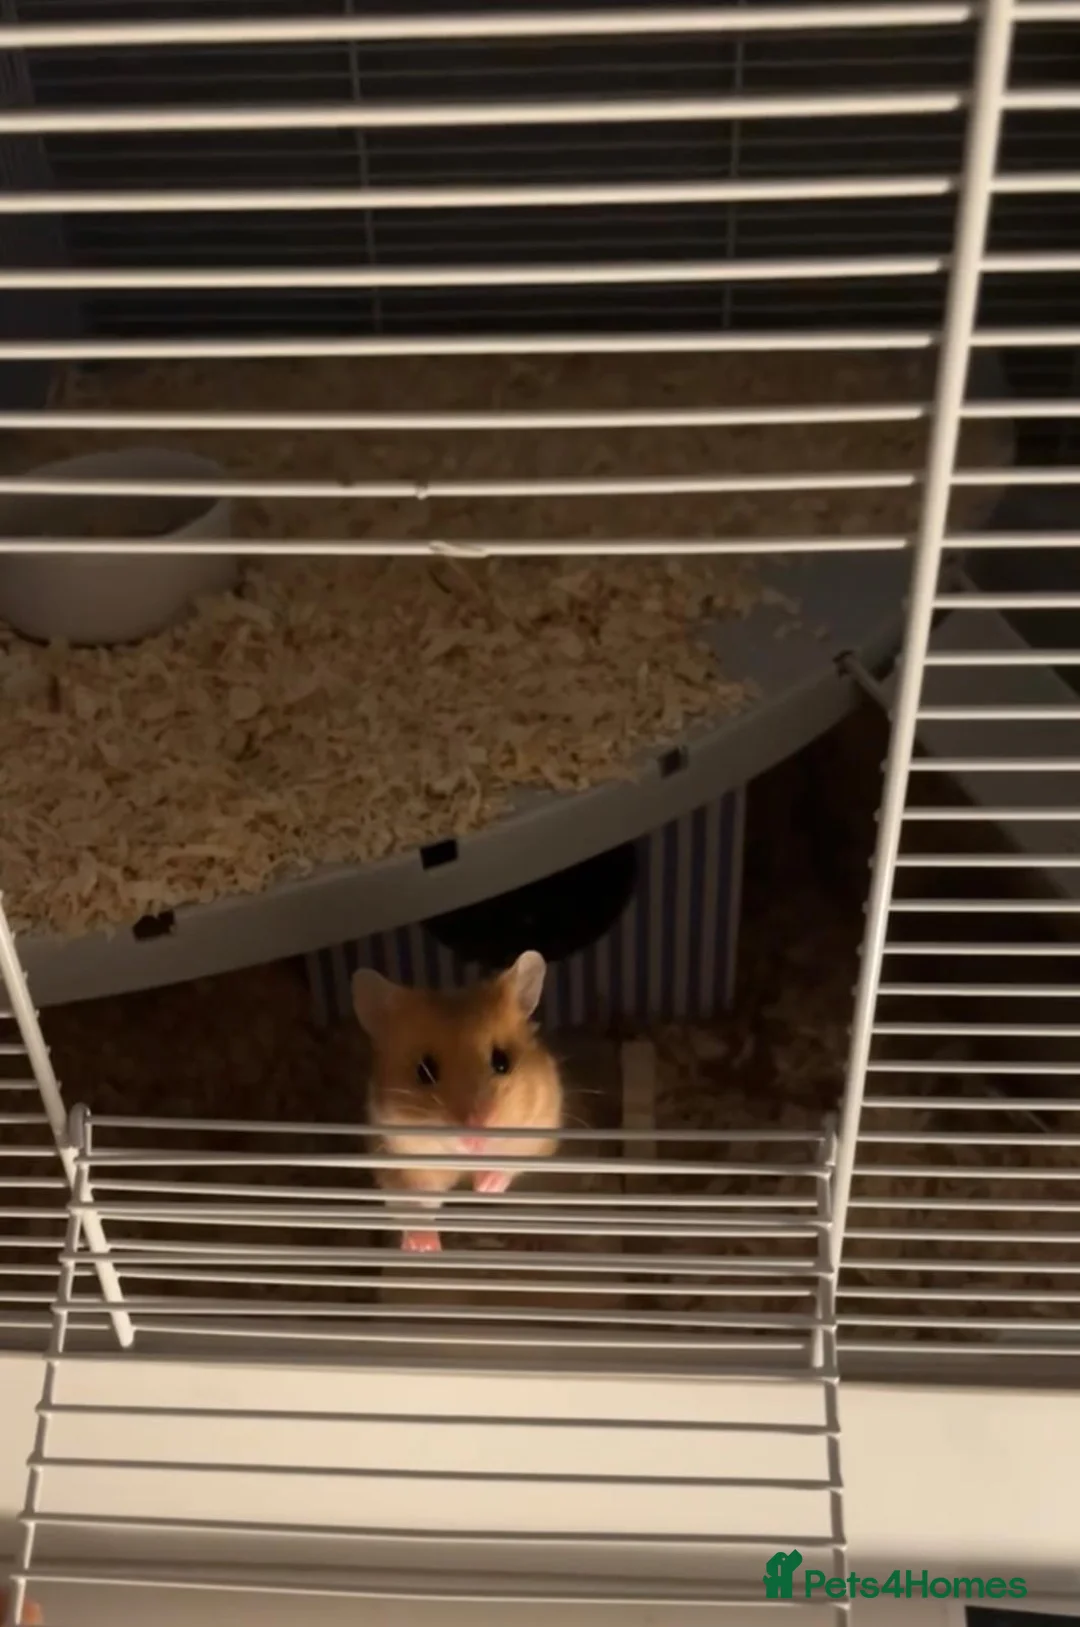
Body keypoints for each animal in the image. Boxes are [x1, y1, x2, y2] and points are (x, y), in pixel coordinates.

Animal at [352, 950, 563, 1253]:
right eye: (424, 1071)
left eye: (502, 1061)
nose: (475, 1137)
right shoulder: (397, 1164)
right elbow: (414, 1204)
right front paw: (425, 1246)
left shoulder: (539, 1129)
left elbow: (509, 1164)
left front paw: (485, 1187)